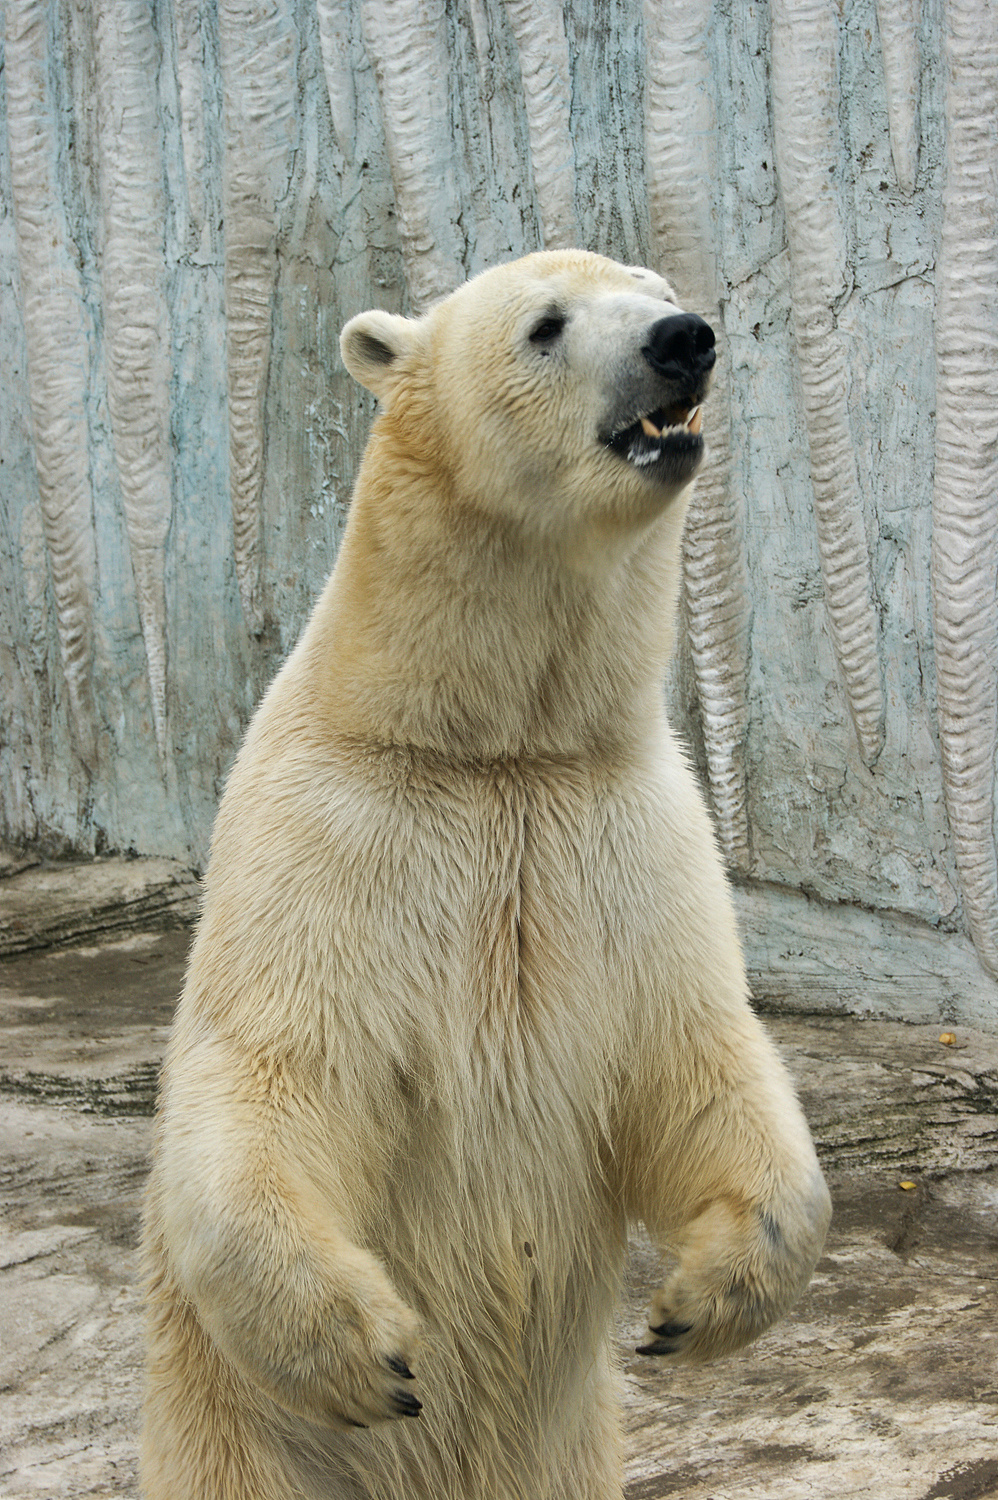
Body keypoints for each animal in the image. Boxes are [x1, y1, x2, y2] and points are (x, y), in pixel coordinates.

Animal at [141, 249, 831, 1500]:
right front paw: (371, 1352)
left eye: (659, 287)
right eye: (545, 324)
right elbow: (274, 1066)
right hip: (236, 1441)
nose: (683, 340)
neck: (490, 747)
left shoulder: (620, 821)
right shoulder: (332, 830)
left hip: (570, 1452)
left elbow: (696, 1051)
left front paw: (695, 1305)